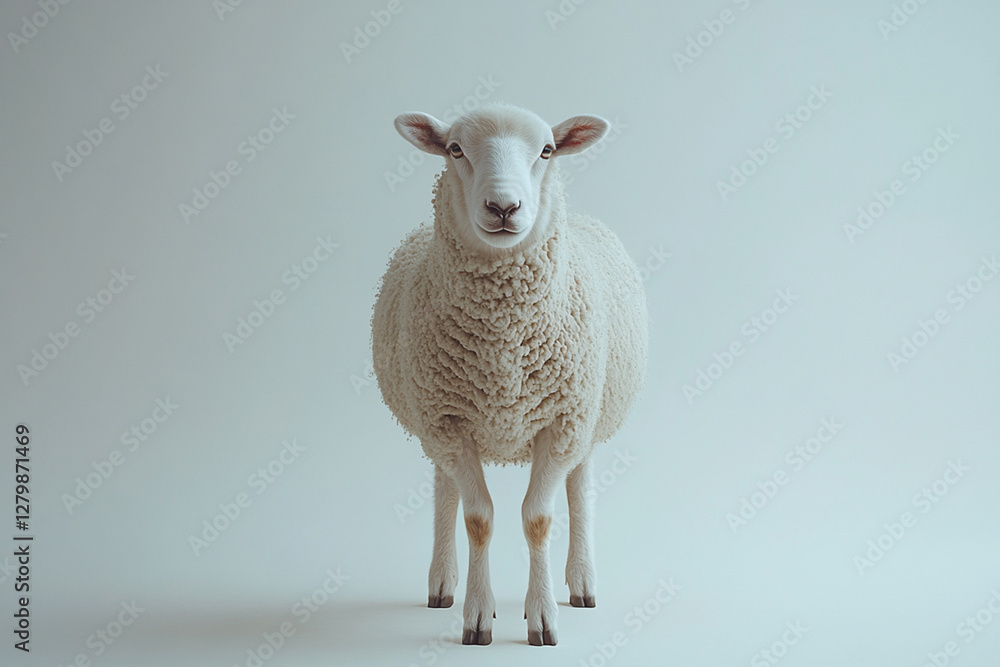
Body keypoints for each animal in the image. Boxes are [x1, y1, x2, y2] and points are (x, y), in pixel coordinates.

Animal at [372, 103, 648, 646]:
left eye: (547, 150)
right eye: (455, 149)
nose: (503, 207)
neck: (503, 348)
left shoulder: (562, 422)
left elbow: (538, 518)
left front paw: (541, 616)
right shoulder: (448, 421)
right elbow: (478, 518)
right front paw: (478, 616)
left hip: (588, 416)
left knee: (579, 488)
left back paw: (582, 582)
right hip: (434, 417)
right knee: (445, 490)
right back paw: (442, 584)